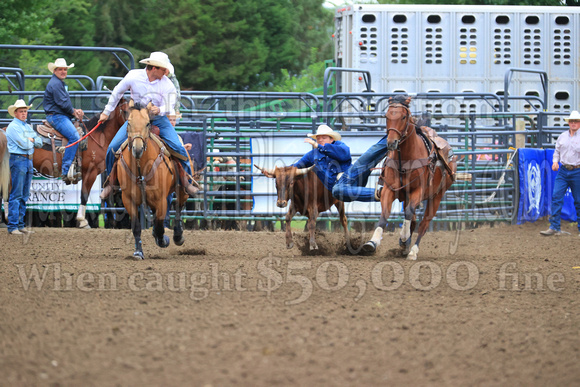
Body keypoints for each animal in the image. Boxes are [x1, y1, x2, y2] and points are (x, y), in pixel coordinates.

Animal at [118, 100, 188, 260]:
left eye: (147, 123)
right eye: (128, 122)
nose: (137, 149)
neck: (141, 168)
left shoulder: (161, 199)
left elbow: (160, 225)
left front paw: (163, 240)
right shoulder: (128, 199)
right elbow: (137, 227)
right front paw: (138, 252)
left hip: (182, 189)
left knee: (179, 208)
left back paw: (178, 236)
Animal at [362, 96, 458, 262]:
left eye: (403, 117)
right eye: (387, 116)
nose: (391, 143)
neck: (405, 159)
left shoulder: (418, 191)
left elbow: (408, 214)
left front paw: (404, 237)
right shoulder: (389, 190)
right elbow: (384, 216)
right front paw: (372, 242)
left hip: (436, 197)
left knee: (423, 224)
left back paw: (412, 250)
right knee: (413, 221)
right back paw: (404, 246)